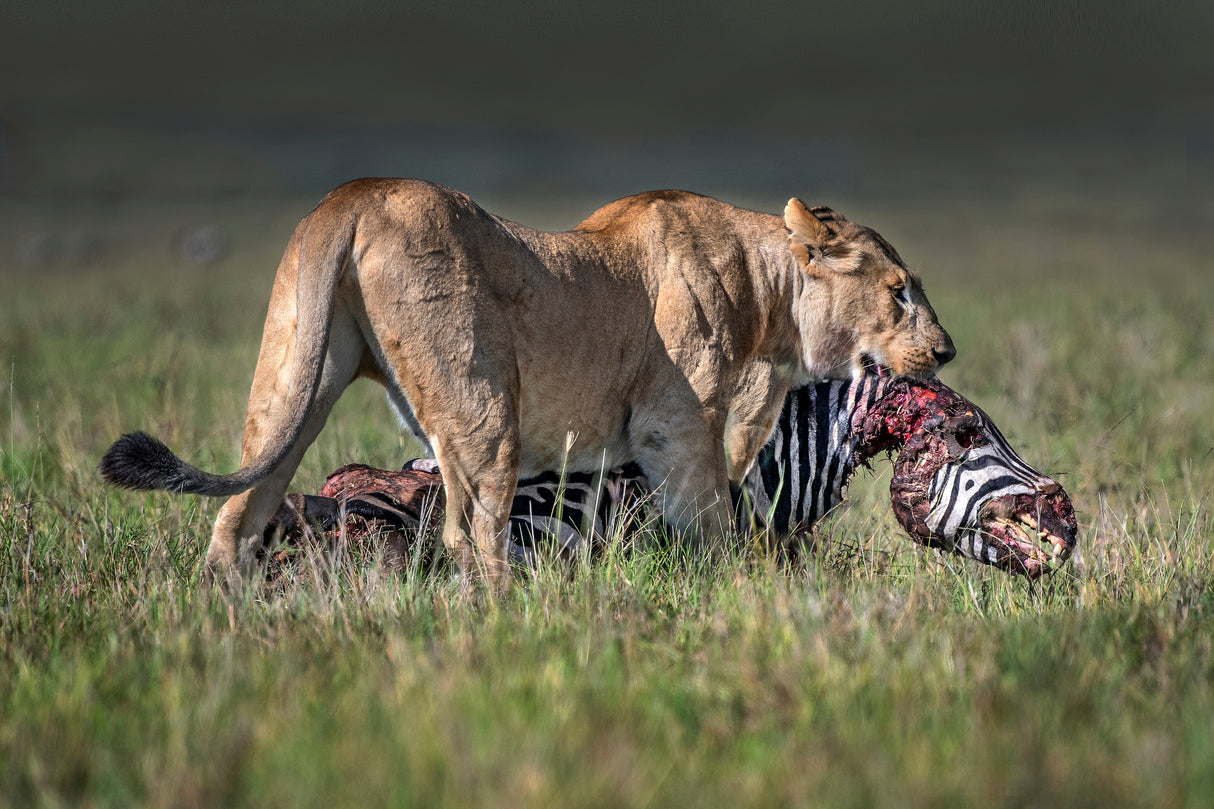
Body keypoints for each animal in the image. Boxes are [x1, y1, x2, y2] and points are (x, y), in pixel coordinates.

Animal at [99, 179, 955, 589]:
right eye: (899, 292)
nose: (946, 352)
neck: (771, 303)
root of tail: (353, 197)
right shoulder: (674, 421)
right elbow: (710, 521)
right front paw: (736, 591)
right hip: (483, 405)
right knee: (469, 531)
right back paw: (511, 613)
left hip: (295, 374)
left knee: (243, 508)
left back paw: (221, 611)